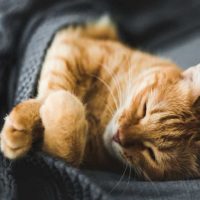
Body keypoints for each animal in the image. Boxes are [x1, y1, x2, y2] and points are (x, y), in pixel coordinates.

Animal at [0, 16, 200, 180]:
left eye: (151, 153)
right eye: (144, 109)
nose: (119, 135)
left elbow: (68, 151)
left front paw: (63, 108)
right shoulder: (72, 48)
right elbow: (53, 89)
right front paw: (24, 120)